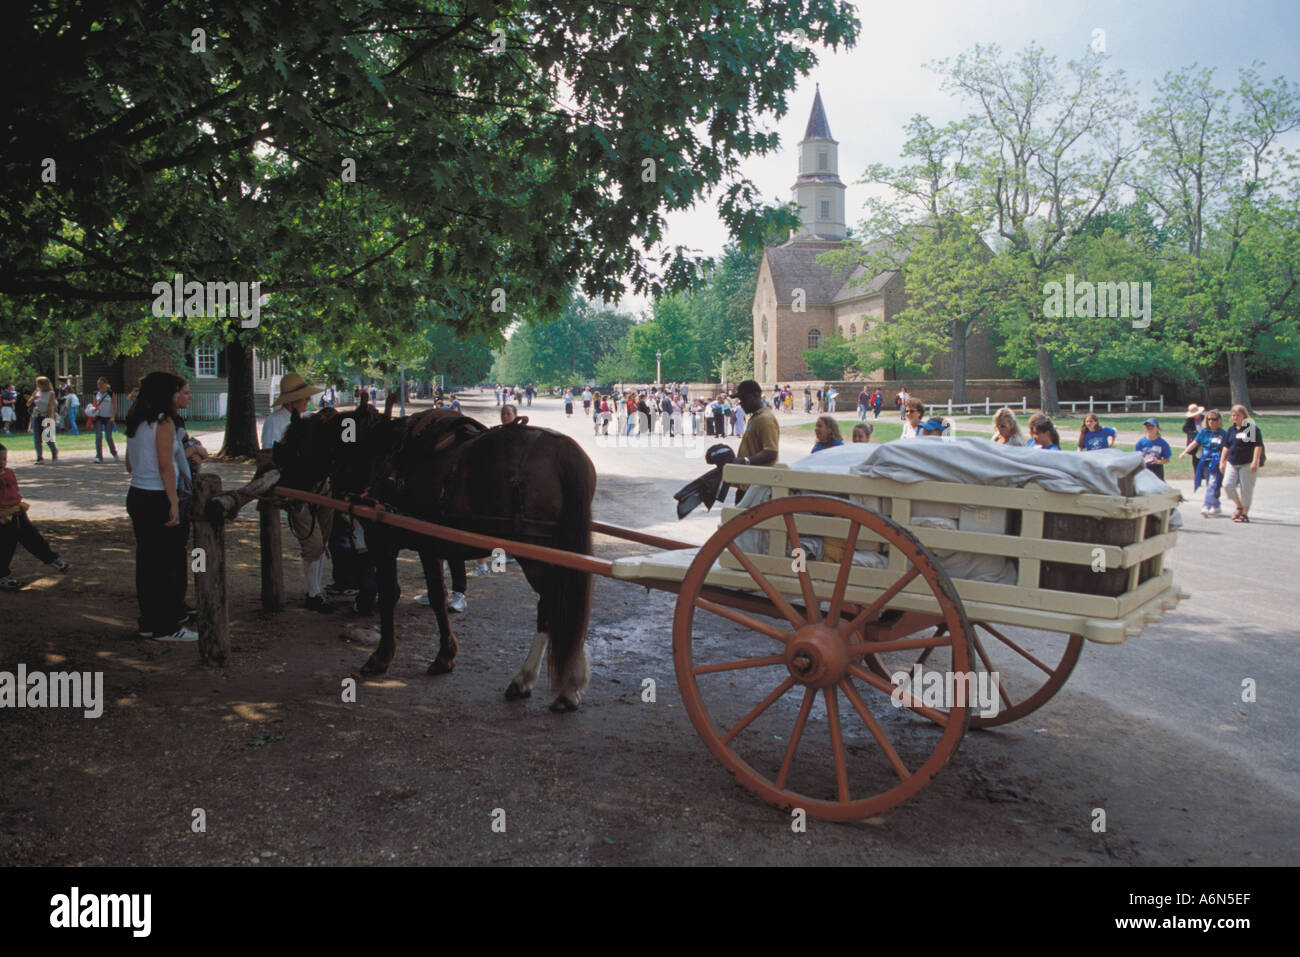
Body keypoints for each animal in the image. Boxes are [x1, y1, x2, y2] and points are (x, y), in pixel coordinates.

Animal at [271, 403, 600, 712]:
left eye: (293, 446)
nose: (280, 492)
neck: (378, 451)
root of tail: (563, 450)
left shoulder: (382, 542)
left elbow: (388, 595)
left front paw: (382, 656)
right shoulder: (429, 546)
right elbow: (437, 598)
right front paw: (445, 656)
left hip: (536, 557)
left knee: (552, 606)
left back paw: (535, 680)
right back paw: (568, 681)